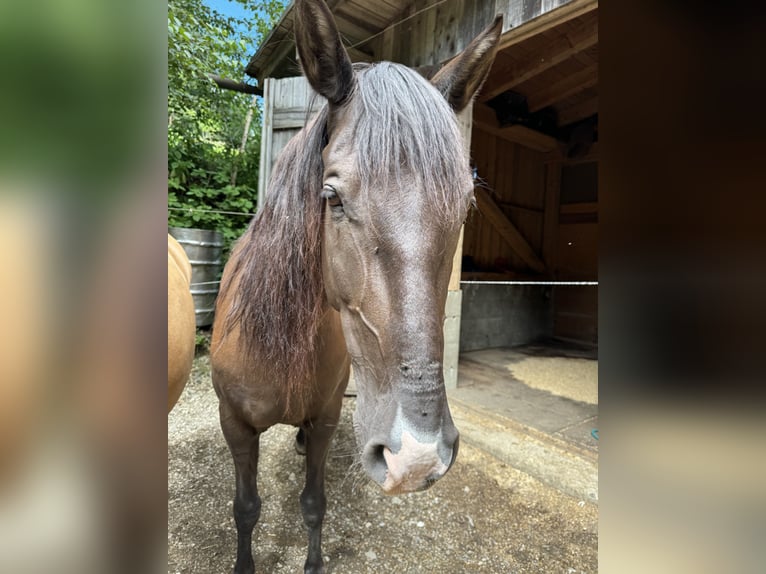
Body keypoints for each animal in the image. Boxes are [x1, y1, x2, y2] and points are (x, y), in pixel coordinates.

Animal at [212, 2, 504, 572]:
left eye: (465, 206)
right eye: (332, 196)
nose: (416, 458)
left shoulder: (328, 419)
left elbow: (313, 502)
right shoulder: (235, 426)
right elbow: (246, 507)